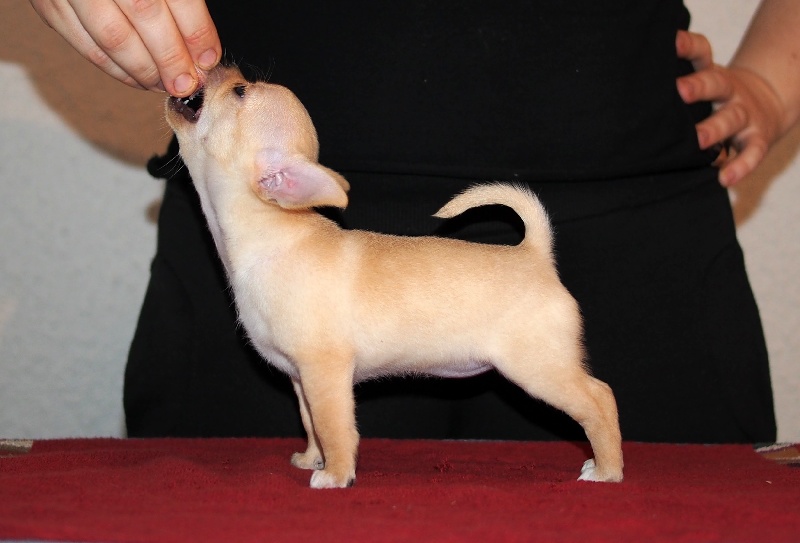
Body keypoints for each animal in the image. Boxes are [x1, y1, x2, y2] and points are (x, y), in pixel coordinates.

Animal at [165, 65, 623, 488]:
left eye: (240, 90)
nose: (218, 65)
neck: (269, 235)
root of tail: (535, 254)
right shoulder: (300, 378)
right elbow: (310, 421)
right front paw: (312, 459)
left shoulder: (324, 373)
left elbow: (334, 426)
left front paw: (335, 474)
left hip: (538, 367)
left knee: (599, 398)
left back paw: (607, 469)